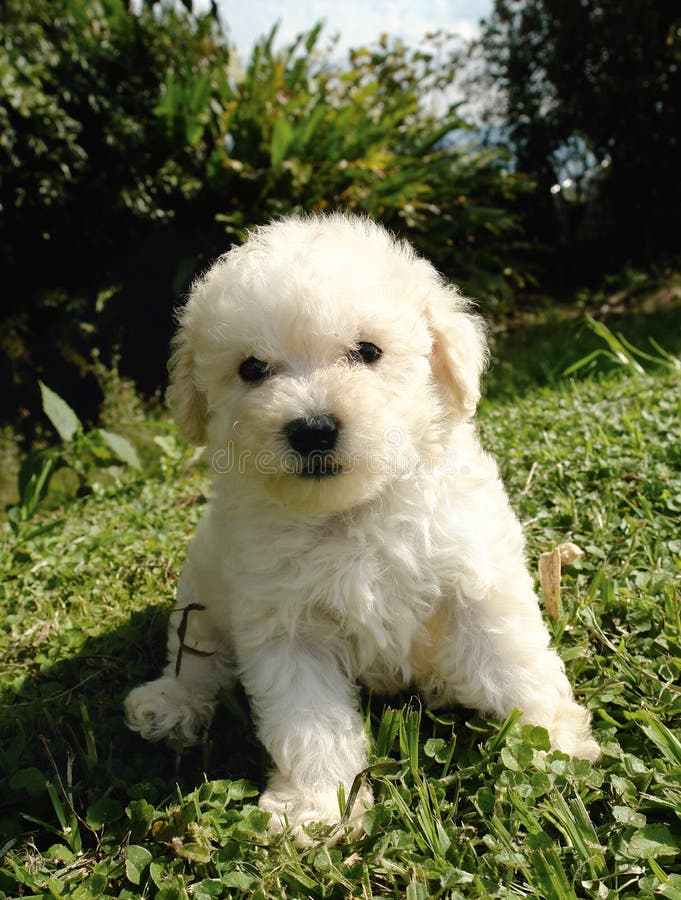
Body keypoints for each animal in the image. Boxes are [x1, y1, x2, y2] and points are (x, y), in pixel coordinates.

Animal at [125, 214, 596, 848]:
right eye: (251, 368)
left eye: (368, 351)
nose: (312, 428)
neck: (353, 510)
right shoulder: (284, 625)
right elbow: (309, 721)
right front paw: (317, 807)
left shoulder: (474, 573)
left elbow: (515, 659)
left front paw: (557, 744)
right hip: (201, 591)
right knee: (196, 657)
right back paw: (170, 703)